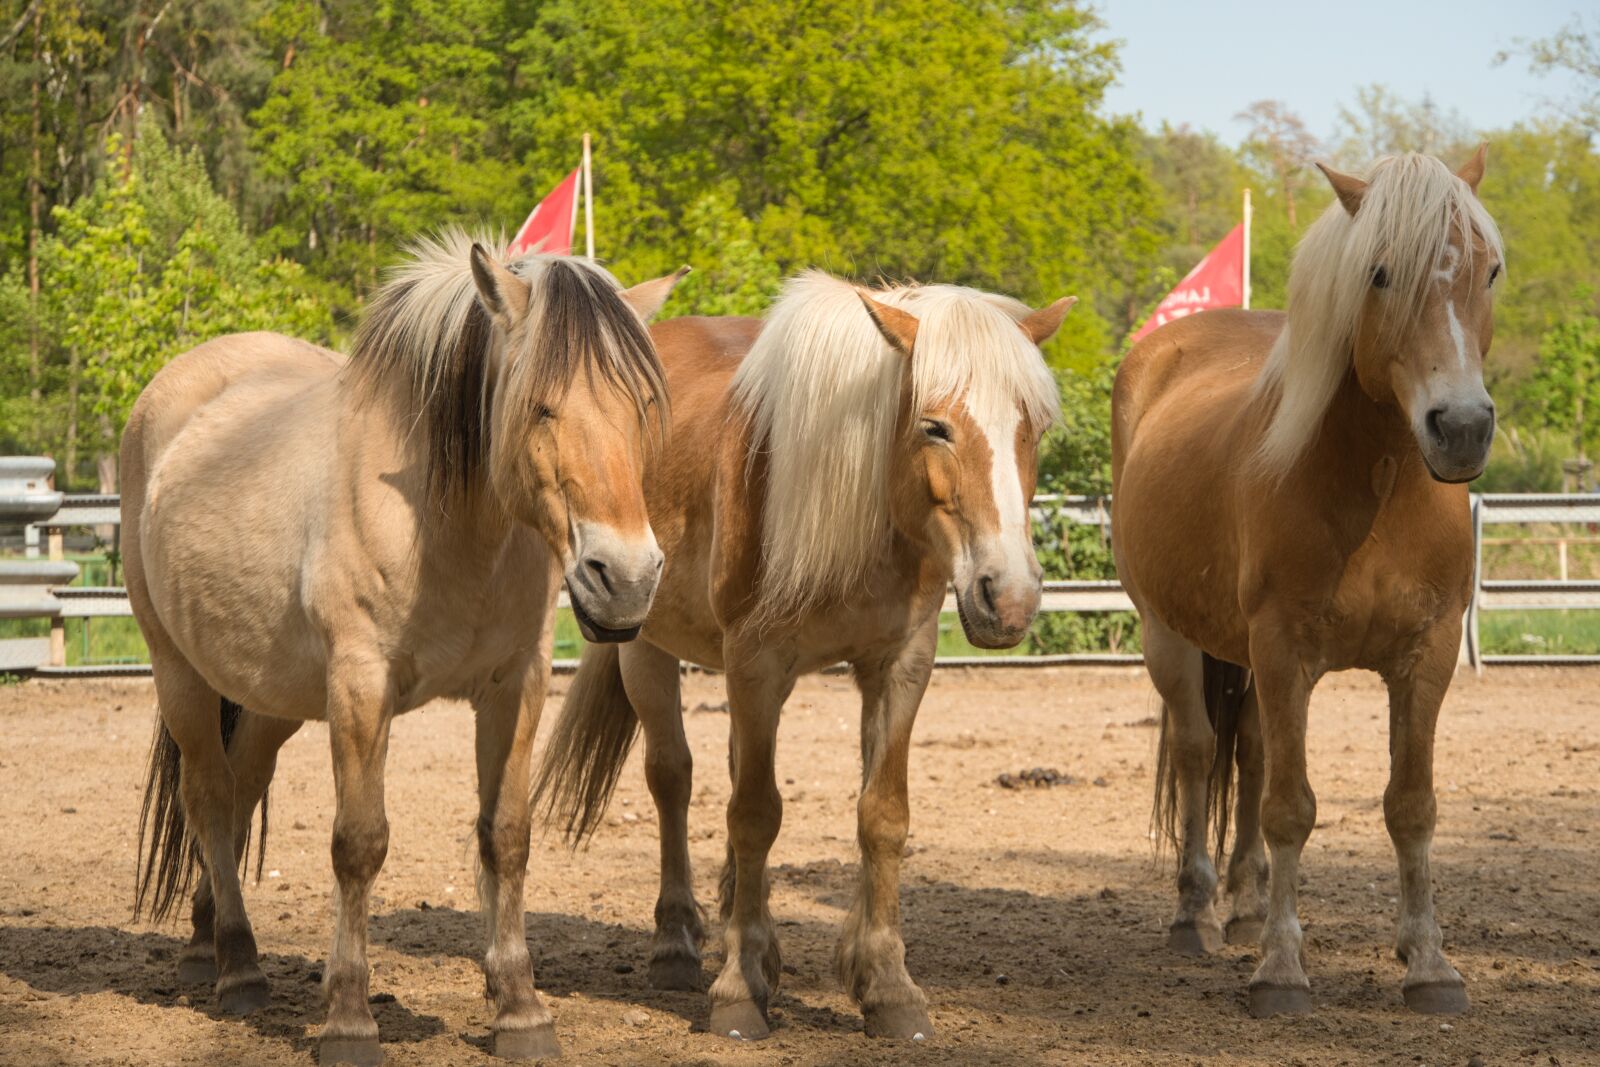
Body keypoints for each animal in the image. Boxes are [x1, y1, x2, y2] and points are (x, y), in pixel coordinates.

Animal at [122, 229, 686, 1065]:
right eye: (541, 406)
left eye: (643, 405)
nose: (626, 578)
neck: (441, 520)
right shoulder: (361, 689)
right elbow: (359, 843)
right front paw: (349, 1020)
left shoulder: (514, 686)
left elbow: (506, 835)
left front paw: (520, 1008)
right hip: (178, 672)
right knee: (210, 796)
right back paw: (239, 966)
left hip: (271, 695)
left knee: (240, 785)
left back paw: (208, 943)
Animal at [533, 271, 1076, 1041]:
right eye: (934, 425)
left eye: (1035, 428)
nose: (1010, 596)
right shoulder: (758, 665)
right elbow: (755, 813)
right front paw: (738, 993)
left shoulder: (899, 668)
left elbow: (881, 816)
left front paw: (886, 986)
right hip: (646, 646)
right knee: (673, 778)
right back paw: (679, 944)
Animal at [1112, 149, 1502, 1018]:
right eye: (1380, 273)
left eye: (1489, 270)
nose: (1460, 428)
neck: (1376, 490)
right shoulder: (1286, 650)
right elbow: (1291, 807)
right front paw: (1282, 971)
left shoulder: (1425, 657)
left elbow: (1410, 805)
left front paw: (1429, 963)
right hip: (1169, 635)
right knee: (1198, 753)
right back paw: (1197, 913)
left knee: (1251, 756)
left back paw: (1248, 903)